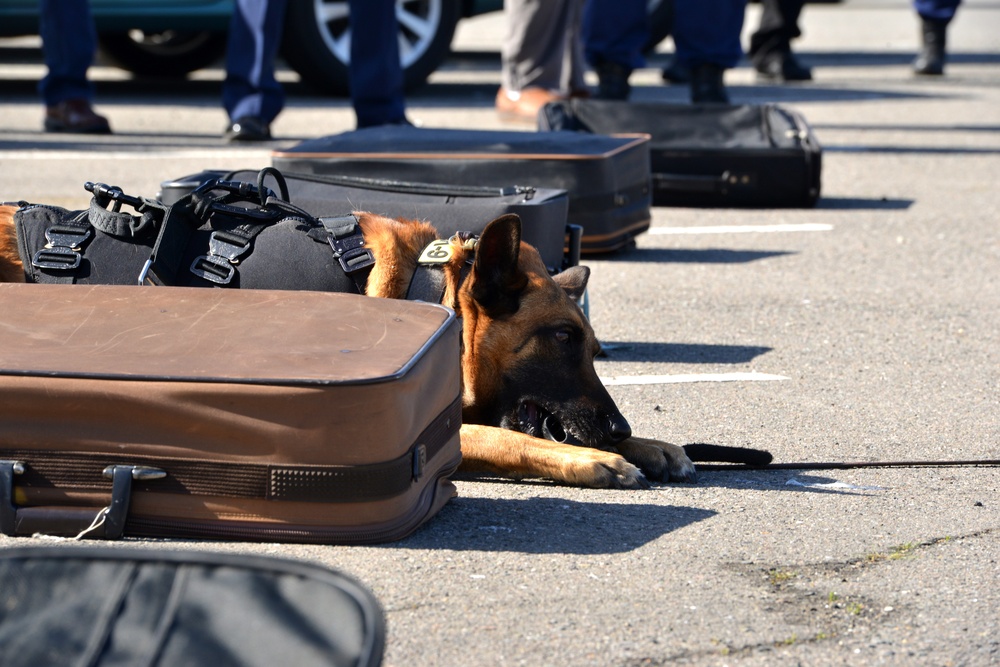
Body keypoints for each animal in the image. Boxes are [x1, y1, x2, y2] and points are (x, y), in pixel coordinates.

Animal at [0, 197, 756, 486]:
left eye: (593, 347)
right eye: (562, 337)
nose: (620, 426)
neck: (426, 291)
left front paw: (650, 443)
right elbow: (506, 436)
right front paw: (591, 459)